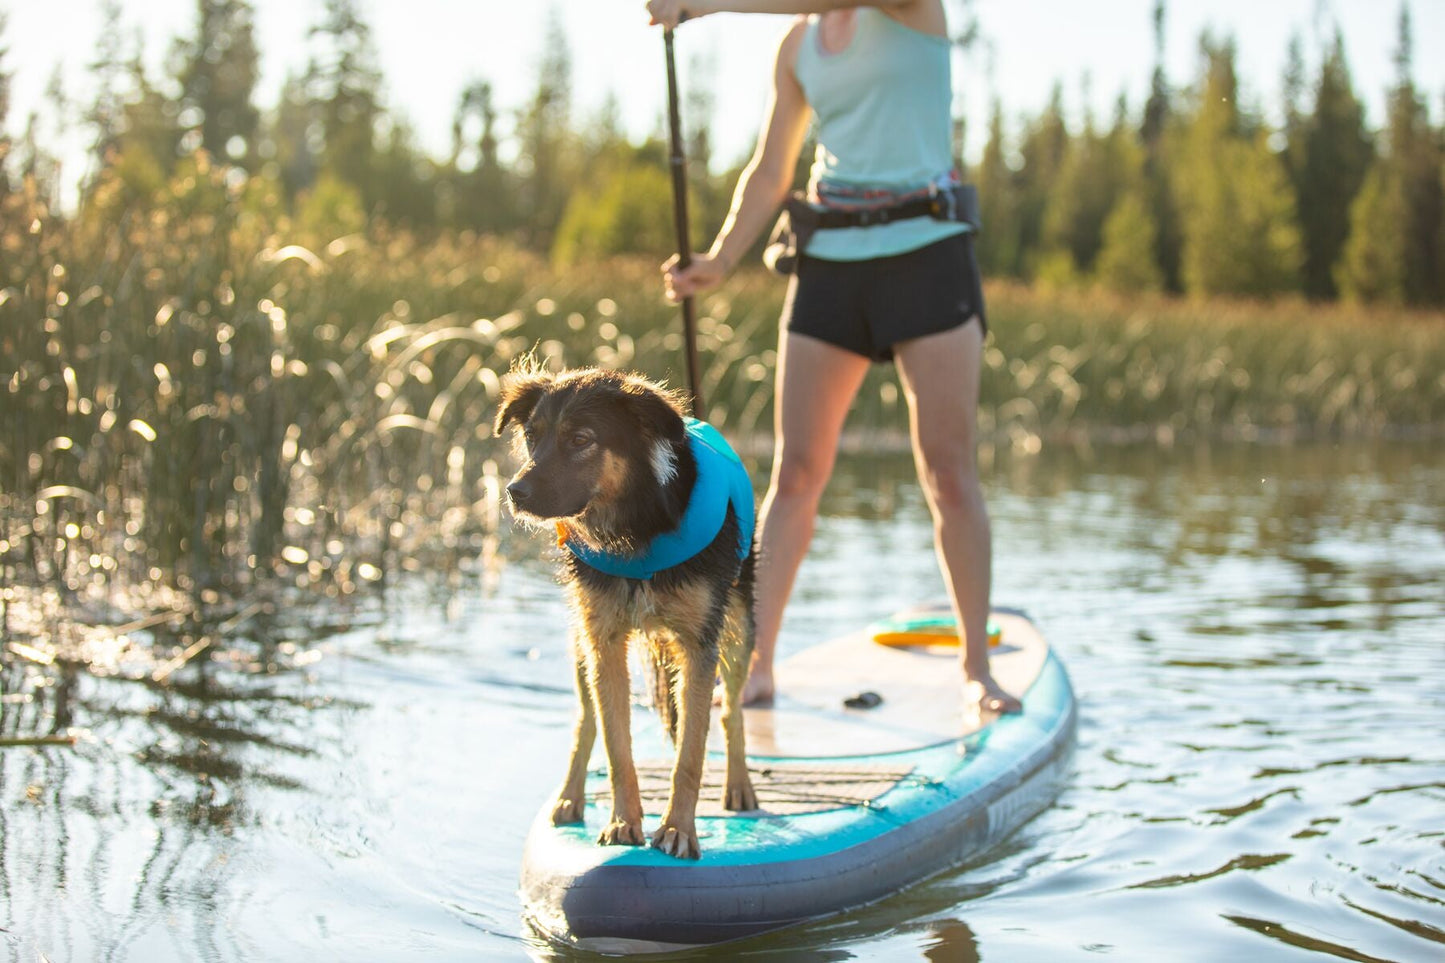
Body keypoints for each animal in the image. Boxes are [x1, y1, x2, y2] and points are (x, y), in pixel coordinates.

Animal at [494, 361, 757, 856]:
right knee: (586, 720)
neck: (634, 528)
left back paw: (739, 785)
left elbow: (691, 752)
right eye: (532, 436)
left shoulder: (700, 644)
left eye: (581, 439)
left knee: (731, 711)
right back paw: (570, 796)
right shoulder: (604, 641)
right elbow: (616, 746)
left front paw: (677, 828)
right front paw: (623, 821)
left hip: (739, 625)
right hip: (581, 643)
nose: (515, 491)